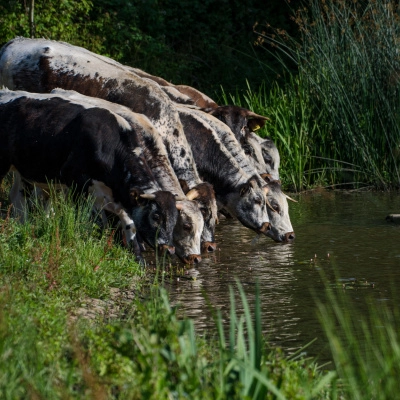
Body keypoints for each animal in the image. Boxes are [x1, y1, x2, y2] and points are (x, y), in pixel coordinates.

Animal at [0, 89, 184, 260]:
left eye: (176, 220)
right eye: (156, 215)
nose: (169, 249)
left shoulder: (116, 197)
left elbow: (130, 225)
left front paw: (138, 259)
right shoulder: (76, 182)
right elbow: (83, 218)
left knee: (17, 196)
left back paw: (21, 224)